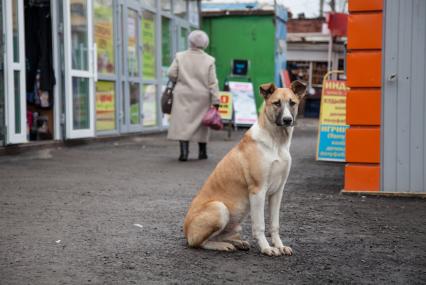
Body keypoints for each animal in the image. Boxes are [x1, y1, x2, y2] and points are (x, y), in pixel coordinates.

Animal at [183, 80, 306, 255]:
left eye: (293, 103)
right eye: (276, 103)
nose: (288, 120)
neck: (277, 142)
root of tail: (186, 231)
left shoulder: (277, 192)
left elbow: (274, 224)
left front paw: (280, 245)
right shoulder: (258, 190)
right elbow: (260, 226)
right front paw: (267, 248)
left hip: (236, 225)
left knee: (220, 236)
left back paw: (238, 243)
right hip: (219, 208)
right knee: (200, 243)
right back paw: (223, 246)